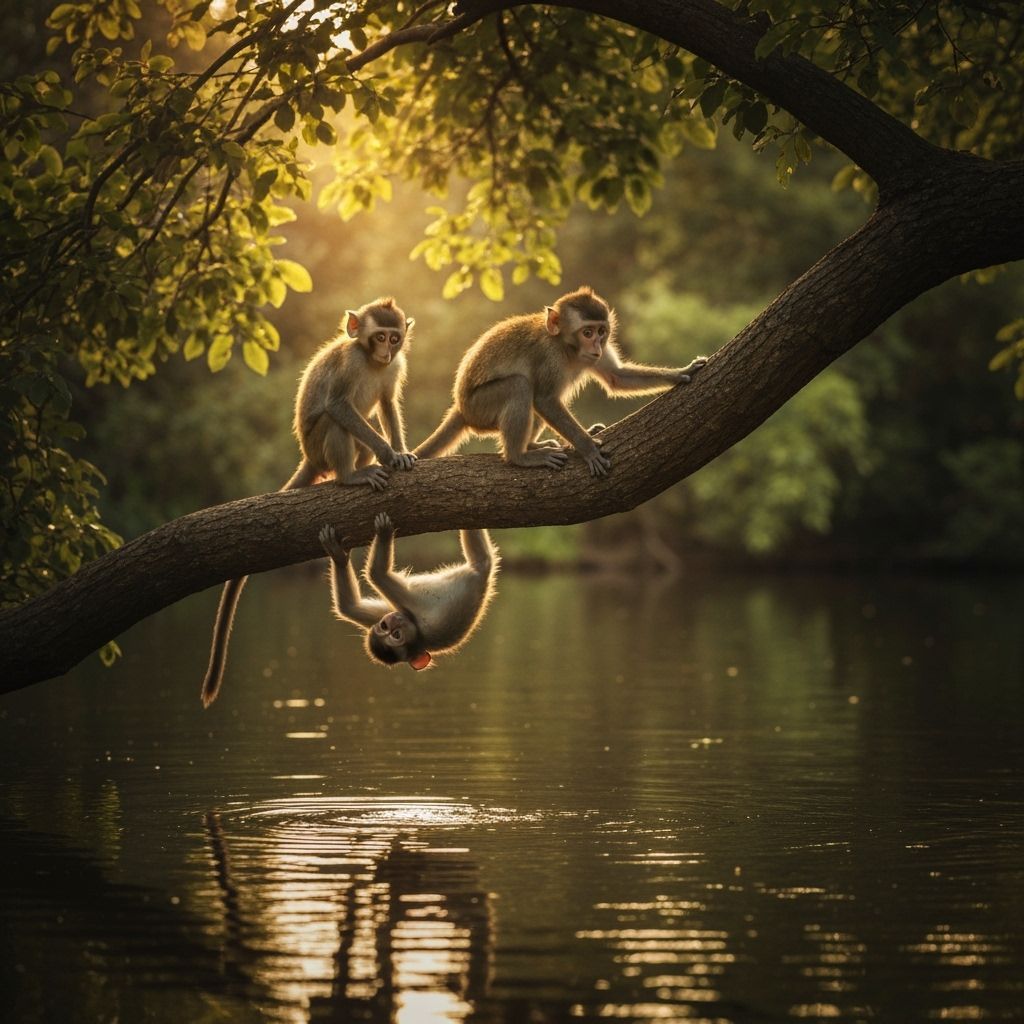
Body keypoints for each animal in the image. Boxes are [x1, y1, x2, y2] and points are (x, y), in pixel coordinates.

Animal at [201, 297, 417, 708]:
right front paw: (387, 453)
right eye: (378, 337)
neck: (371, 363)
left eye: (394, 338)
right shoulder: (350, 363)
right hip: (319, 444)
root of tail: (310, 458)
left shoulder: (395, 368)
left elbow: (387, 404)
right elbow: (339, 406)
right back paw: (349, 476)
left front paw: (399, 451)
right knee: (337, 422)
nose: (386, 351)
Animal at [319, 513, 499, 670]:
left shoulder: (386, 615)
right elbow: (374, 577)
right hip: (480, 564)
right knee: (482, 557)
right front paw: (383, 534)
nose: (392, 621)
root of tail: (483, 577)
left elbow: (349, 607)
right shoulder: (408, 611)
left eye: (386, 627)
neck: (417, 630)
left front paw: (339, 557)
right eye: (396, 635)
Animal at [414, 287, 707, 476]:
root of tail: (461, 406)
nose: (596, 346)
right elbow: (545, 400)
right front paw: (588, 449)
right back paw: (520, 456)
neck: (567, 348)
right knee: (521, 386)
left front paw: (682, 372)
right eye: (587, 332)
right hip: (480, 409)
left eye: (601, 332)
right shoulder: (549, 356)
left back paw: (532, 445)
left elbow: (617, 377)